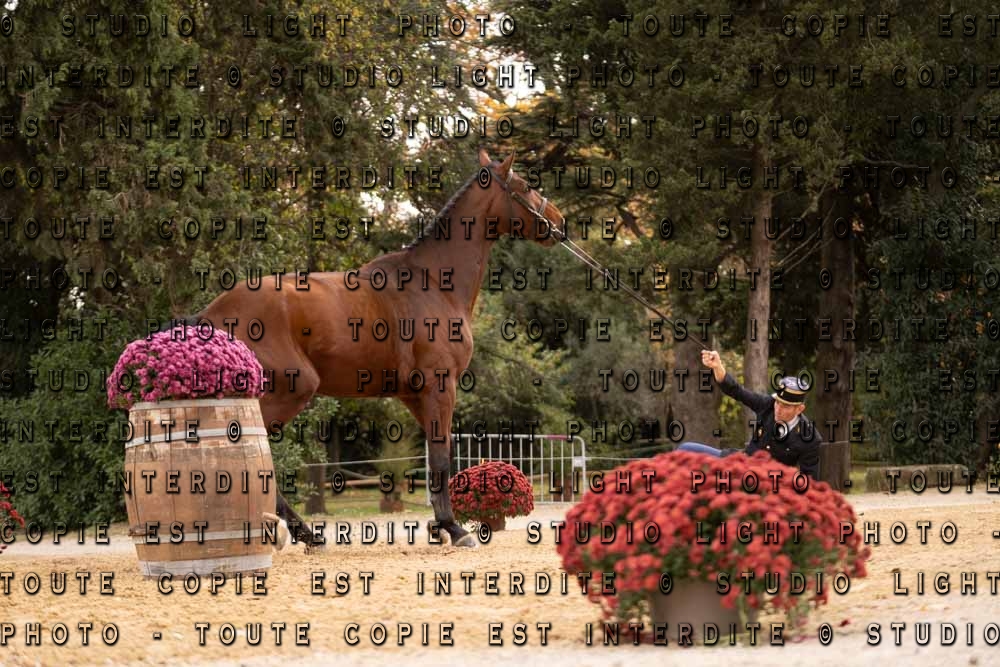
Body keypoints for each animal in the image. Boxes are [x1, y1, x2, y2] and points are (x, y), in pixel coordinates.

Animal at [170, 149, 565, 549]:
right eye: (525, 185)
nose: (559, 221)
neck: (434, 283)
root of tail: (212, 315)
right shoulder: (441, 386)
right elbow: (441, 458)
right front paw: (455, 530)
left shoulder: (415, 394)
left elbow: (434, 457)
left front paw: (439, 526)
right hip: (289, 391)